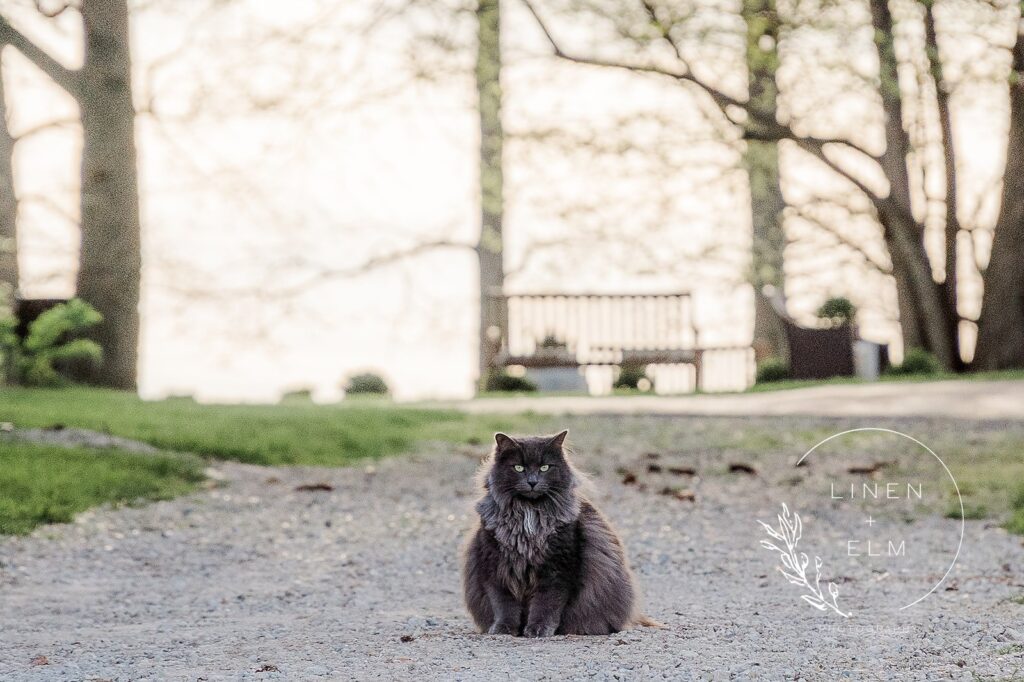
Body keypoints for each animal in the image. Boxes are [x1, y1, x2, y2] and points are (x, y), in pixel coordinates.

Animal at [460, 428, 651, 634]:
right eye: (518, 468)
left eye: (545, 467)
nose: (532, 481)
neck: (528, 513)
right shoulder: (495, 567)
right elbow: (503, 605)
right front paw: (504, 628)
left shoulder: (558, 569)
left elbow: (547, 604)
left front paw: (538, 628)